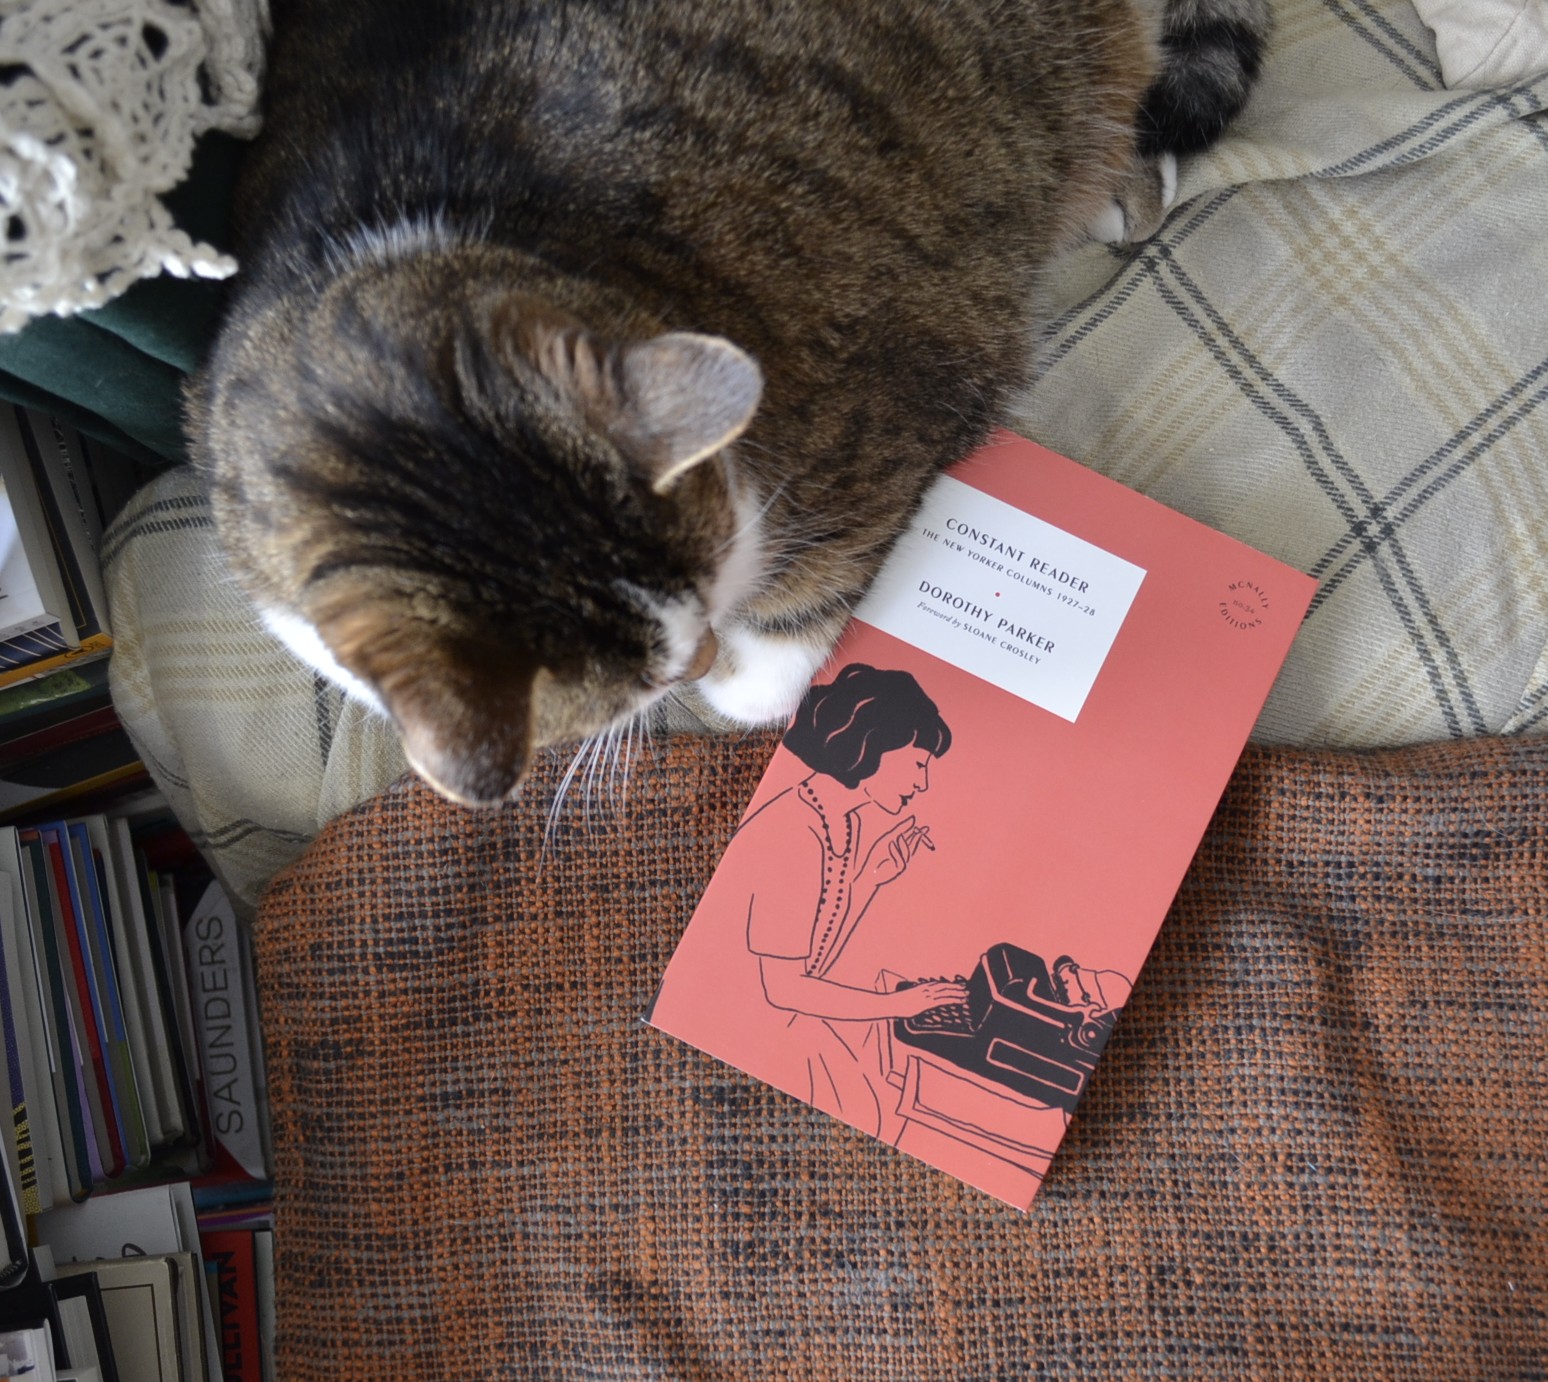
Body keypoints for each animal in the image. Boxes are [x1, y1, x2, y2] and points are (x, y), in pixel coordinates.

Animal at [187, 0, 1269, 798]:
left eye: (685, 661)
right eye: (656, 675)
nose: (703, 658)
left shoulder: (903, 397)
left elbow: (812, 594)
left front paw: (755, 679)